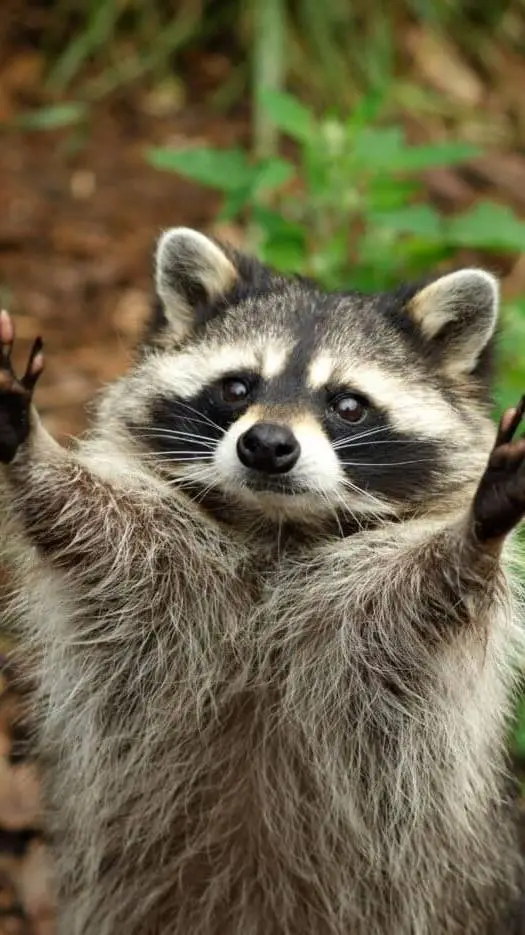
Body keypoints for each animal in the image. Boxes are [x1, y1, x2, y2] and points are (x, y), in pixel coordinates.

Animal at [1, 227, 525, 935]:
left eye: (348, 404)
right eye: (237, 388)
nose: (268, 445)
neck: (276, 527)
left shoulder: (373, 618)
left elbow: (424, 596)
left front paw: (472, 536)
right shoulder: (162, 566)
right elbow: (94, 527)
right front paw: (34, 456)